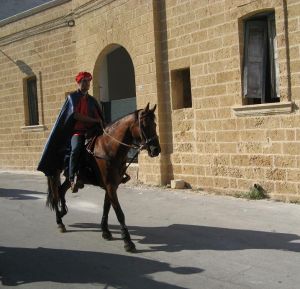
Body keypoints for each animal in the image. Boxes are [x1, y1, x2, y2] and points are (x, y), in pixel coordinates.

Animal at [45, 102, 161, 251]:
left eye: (155, 124)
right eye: (145, 125)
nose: (156, 150)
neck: (109, 147)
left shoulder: (111, 186)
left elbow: (106, 207)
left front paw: (105, 231)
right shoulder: (110, 186)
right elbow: (119, 213)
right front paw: (127, 241)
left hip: (67, 178)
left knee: (61, 191)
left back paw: (62, 212)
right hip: (53, 173)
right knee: (55, 195)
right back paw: (59, 221)